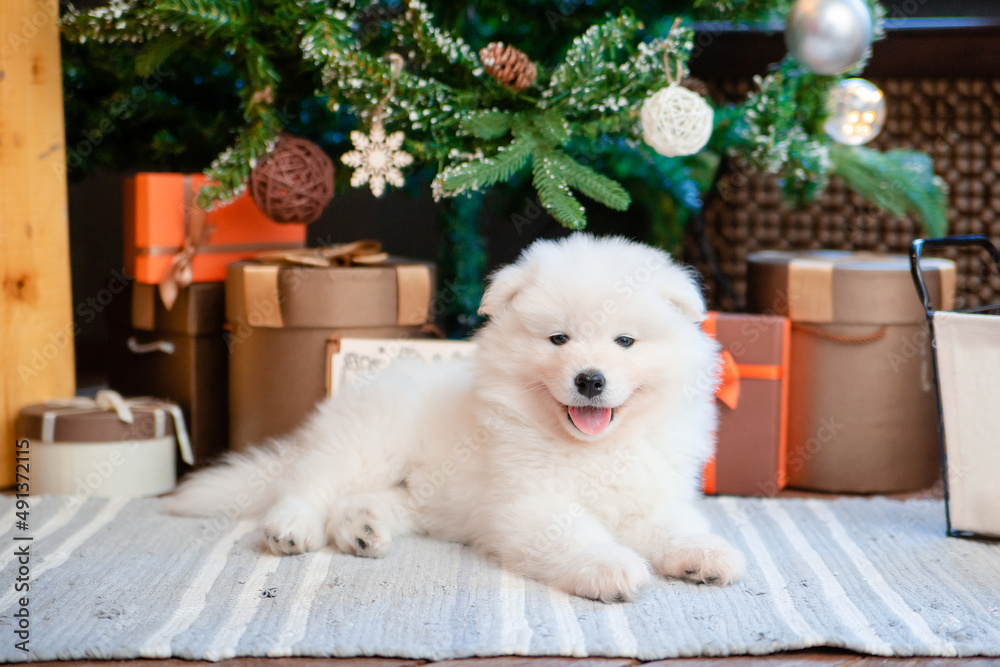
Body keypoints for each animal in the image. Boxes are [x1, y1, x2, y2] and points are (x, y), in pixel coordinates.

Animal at [166, 234, 744, 600]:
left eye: (625, 341)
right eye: (558, 339)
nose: (590, 380)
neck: (593, 449)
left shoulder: (651, 494)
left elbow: (675, 526)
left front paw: (706, 555)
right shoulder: (532, 503)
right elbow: (576, 535)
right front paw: (610, 567)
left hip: (417, 488)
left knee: (371, 500)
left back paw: (363, 529)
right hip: (366, 445)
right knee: (308, 484)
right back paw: (291, 528)